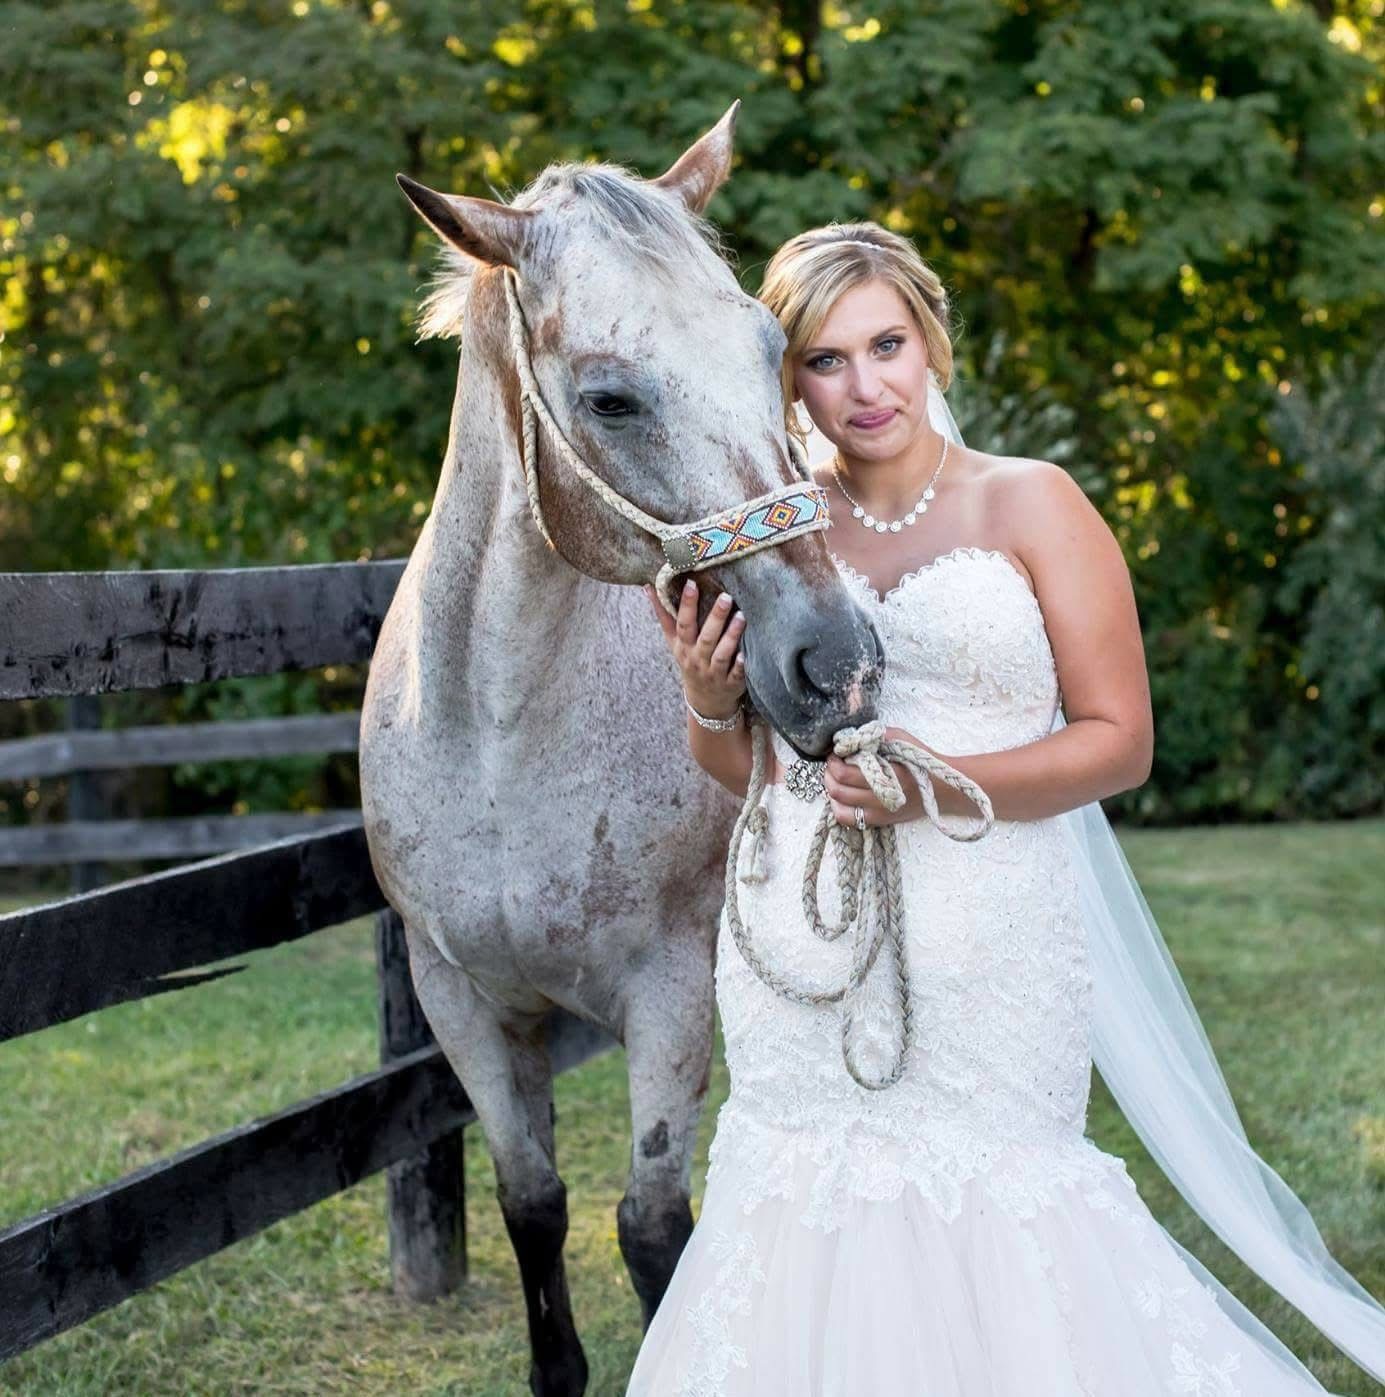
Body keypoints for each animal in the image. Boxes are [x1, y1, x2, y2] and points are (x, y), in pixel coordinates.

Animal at [359, 103, 882, 1396]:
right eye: (608, 399)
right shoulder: (464, 1000)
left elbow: (650, 1226)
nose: (832, 663)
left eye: (769, 347)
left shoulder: (666, 988)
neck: (495, 739)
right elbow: (532, 1202)